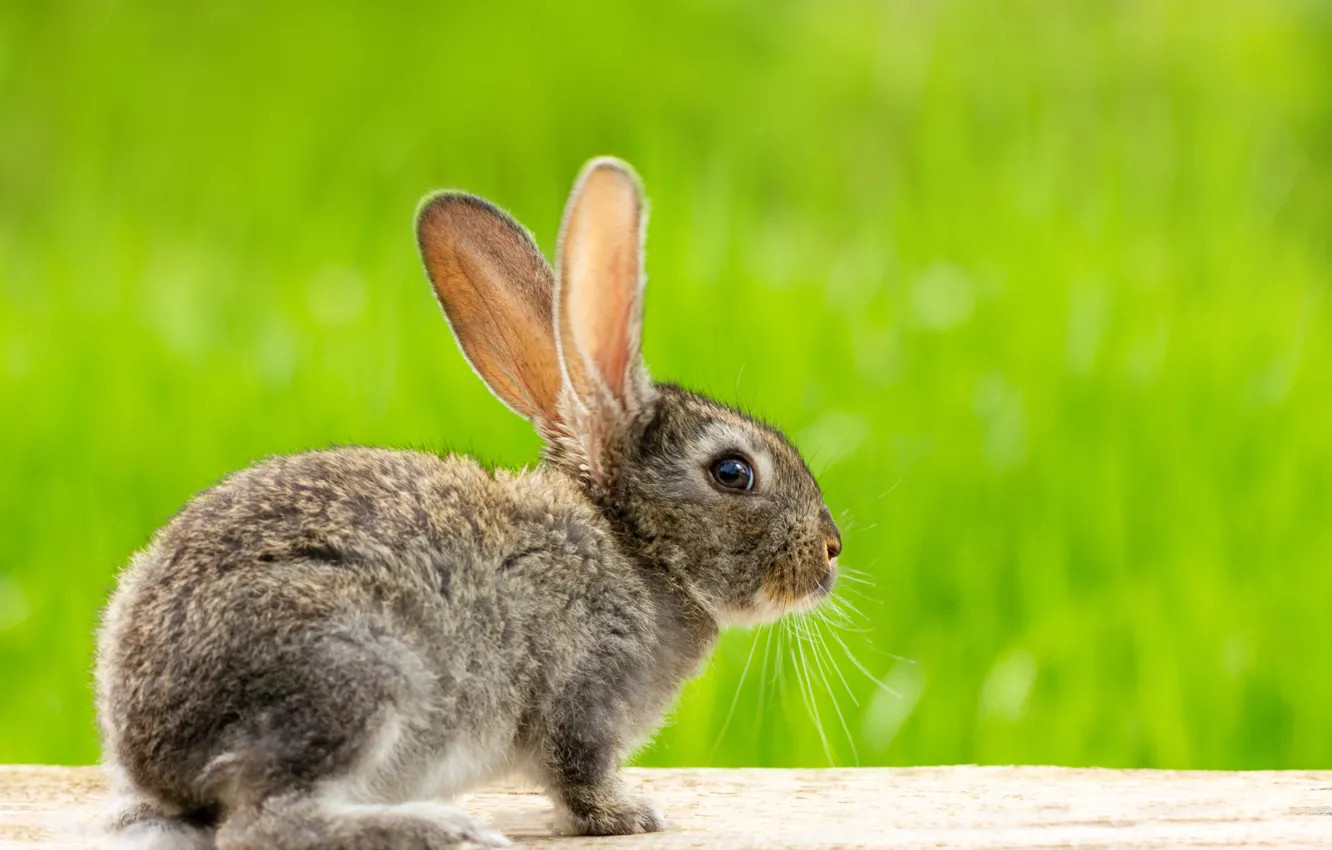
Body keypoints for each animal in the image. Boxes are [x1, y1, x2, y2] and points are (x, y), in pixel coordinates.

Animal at [95, 157, 843, 850]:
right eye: (733, 472)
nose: (832, 551)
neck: (634, 546)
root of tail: (150, 745)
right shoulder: (582, 696)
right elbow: (579, 775)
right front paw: (628, 816)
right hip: (355, 671)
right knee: (265, 822)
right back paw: (441, 827)